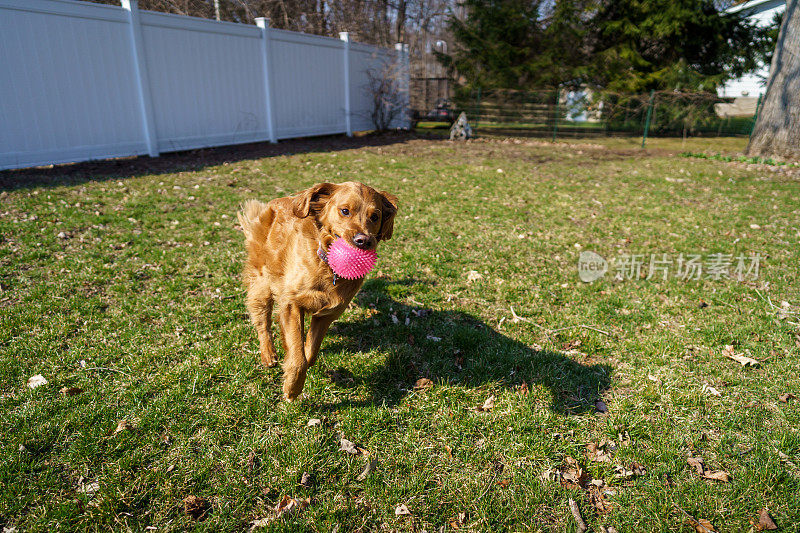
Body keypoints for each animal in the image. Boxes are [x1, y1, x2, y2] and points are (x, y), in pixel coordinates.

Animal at [238, 182, 400, 400]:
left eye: (375, 216)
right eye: (345, 211)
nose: (364, 240)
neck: (328, 267)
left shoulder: (326, 315)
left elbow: (310, 353)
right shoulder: (292, 304)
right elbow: (298, 357)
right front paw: (292, 388)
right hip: (262, 284)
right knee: (262, 323)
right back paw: (268, 354)